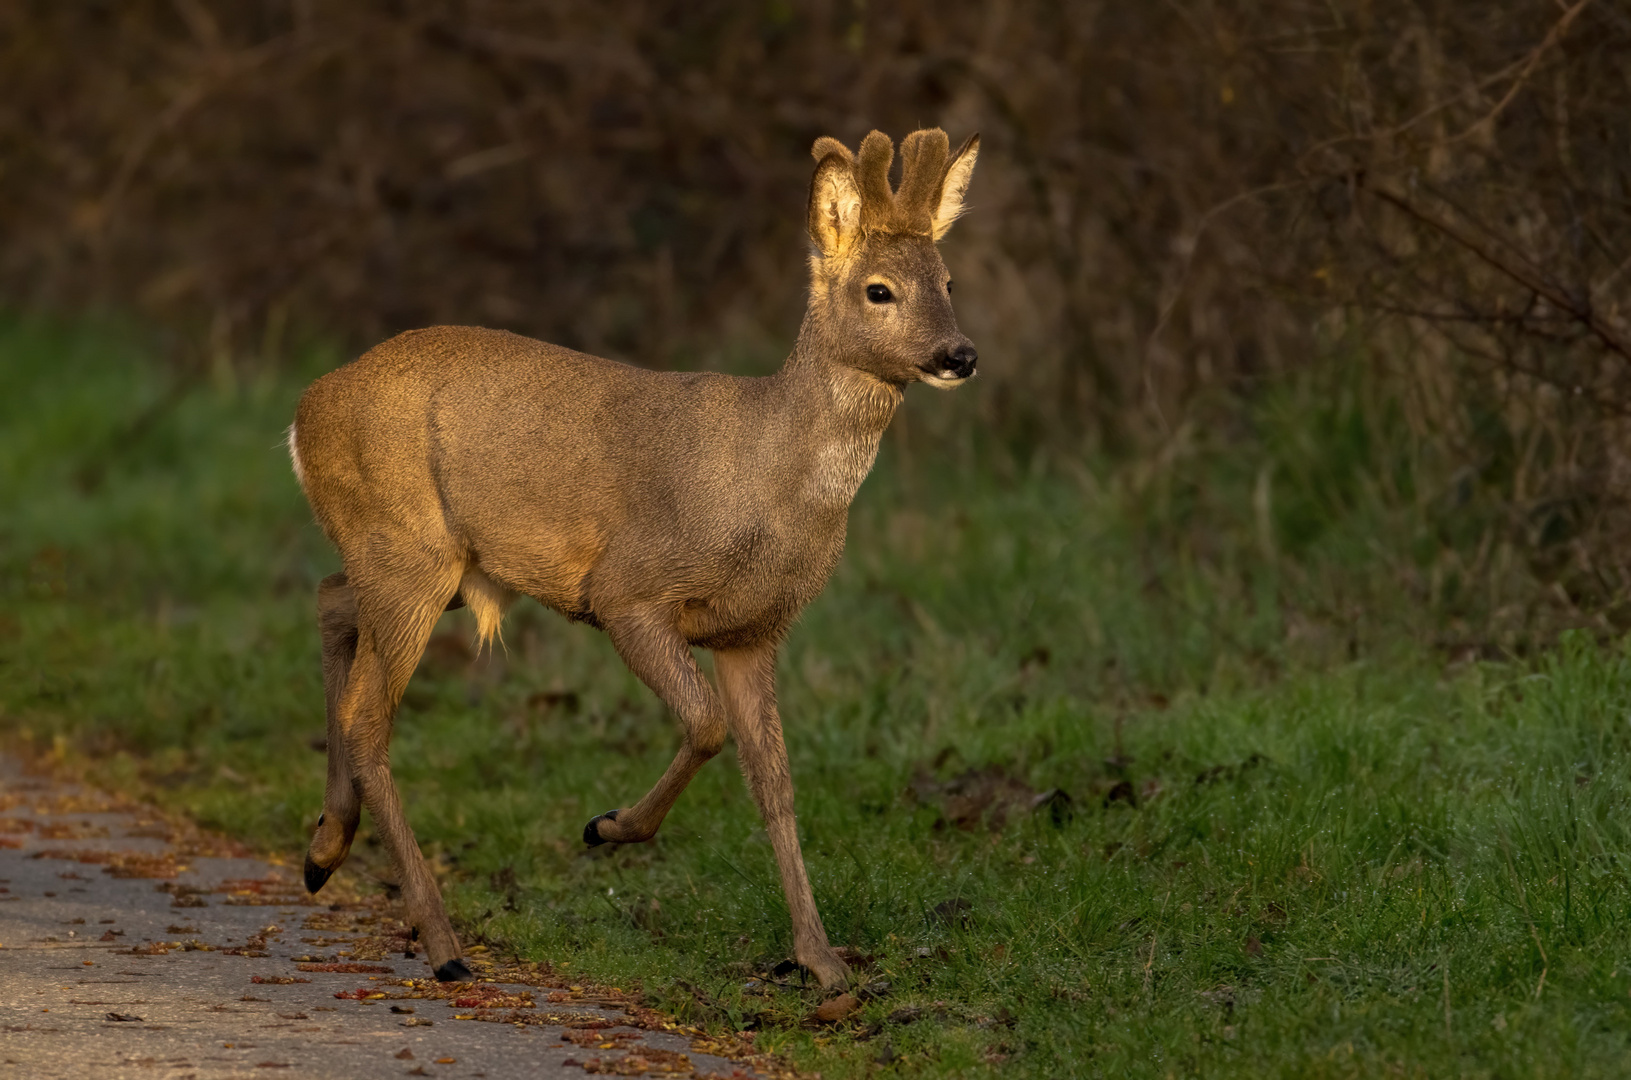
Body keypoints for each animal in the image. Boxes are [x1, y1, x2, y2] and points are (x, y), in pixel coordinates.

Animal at [288, 127, 978, 991]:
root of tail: (304, 409)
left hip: (431, 561)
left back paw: (323, 850)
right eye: (878, 289)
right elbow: (707, 725)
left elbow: (774, 782)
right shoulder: (628, 590)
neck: (768, 480)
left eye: (948, 279)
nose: (959, 353)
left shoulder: (754, 632)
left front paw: (822, 963)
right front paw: (607, 826)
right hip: (407, 549)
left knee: (329, 598)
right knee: (367, 714)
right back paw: (441, 943)